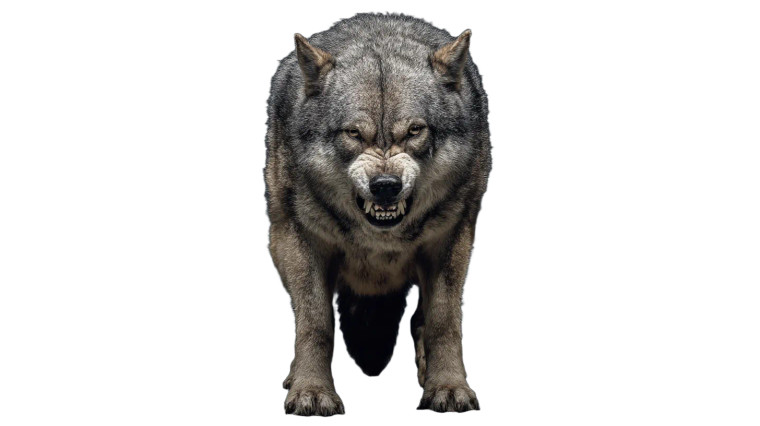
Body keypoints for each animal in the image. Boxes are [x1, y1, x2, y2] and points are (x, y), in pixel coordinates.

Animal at [264, 13, 491, 415]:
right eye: (354, 133)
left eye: (415, 130)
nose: (385, 185)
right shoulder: (300, 240)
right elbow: (315, 322)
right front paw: (311, 391)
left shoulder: (453, 238)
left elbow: (443, 320)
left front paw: (449, 386)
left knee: (420, 318)